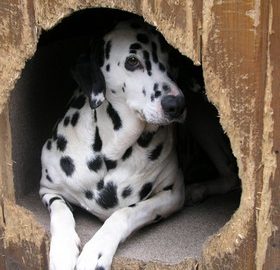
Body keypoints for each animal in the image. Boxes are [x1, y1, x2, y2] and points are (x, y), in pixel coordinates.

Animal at [38, 20, 186, 270]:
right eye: (132, 61)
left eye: (173, 60)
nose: (177, 104)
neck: (113, 150)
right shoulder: (48, 189)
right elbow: (61, 212)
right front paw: (63, 251)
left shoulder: (173, 194)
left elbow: (124, 213)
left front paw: (96, 251)